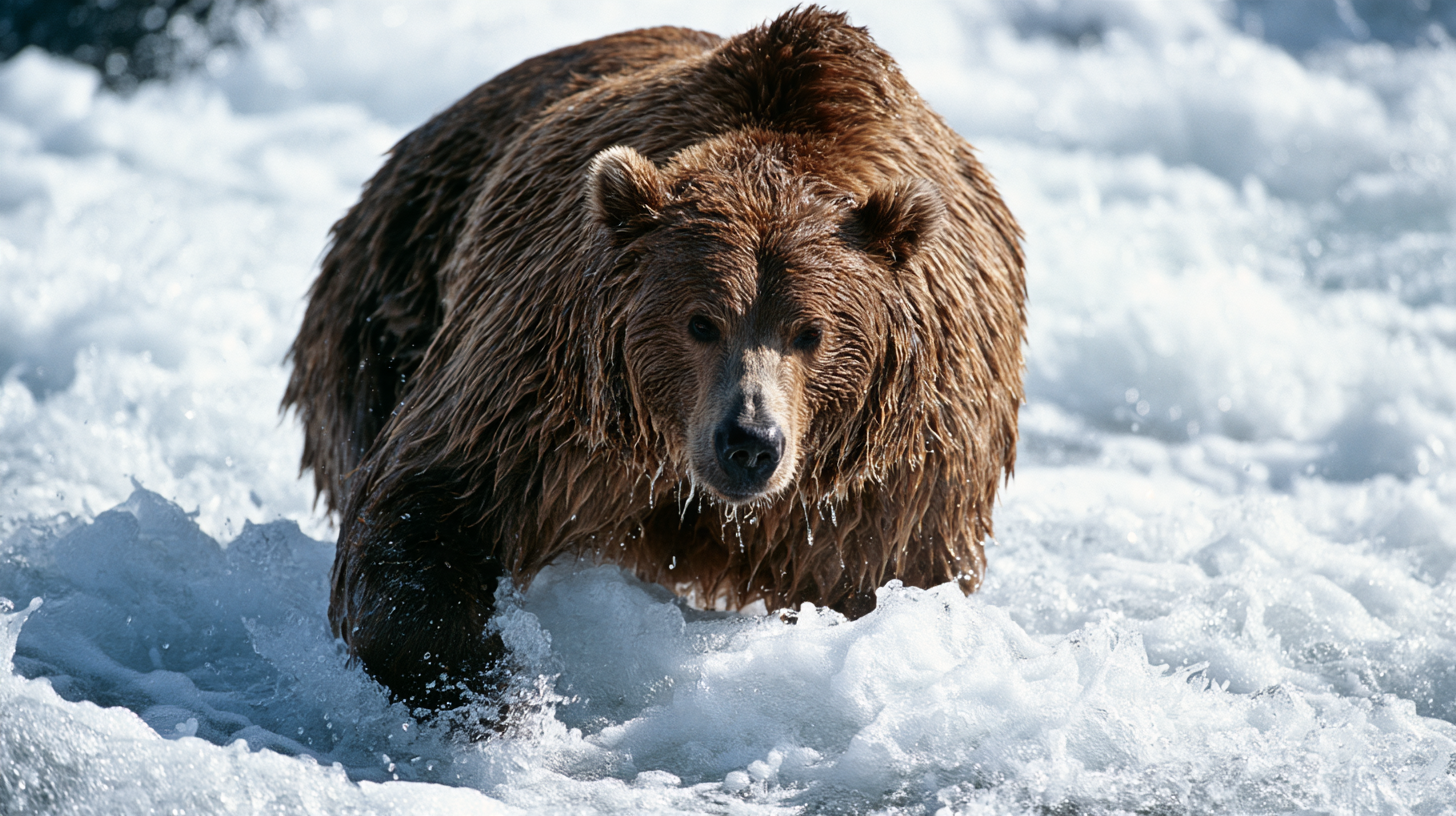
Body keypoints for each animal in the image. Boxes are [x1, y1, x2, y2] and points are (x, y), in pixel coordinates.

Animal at [282, 6, 1026, 713]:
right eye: (700, 321)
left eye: (811, 333)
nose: (749, 441)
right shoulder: (548, 389)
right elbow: (429, 497)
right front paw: (484, 687)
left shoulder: (893, 470)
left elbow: (896, 579)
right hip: (386, 292)